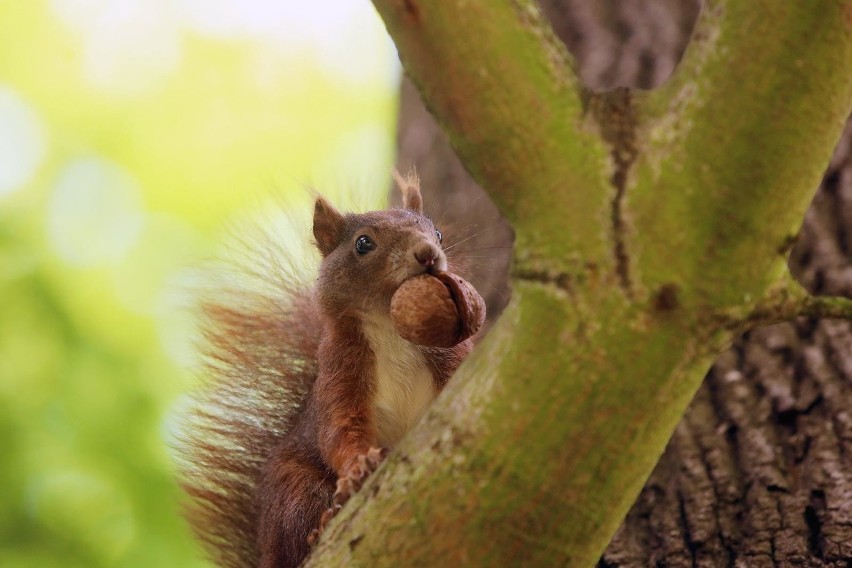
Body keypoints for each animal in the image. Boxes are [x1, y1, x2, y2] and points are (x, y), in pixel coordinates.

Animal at [177, 172, 480, 568]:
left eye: (439, 233)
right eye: (363, 243)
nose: (428, 253)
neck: (390, 327)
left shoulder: (452, 356)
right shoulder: (340, 375)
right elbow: (339, 432)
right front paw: (358, 466)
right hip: (293, 490)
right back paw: (322, 525)